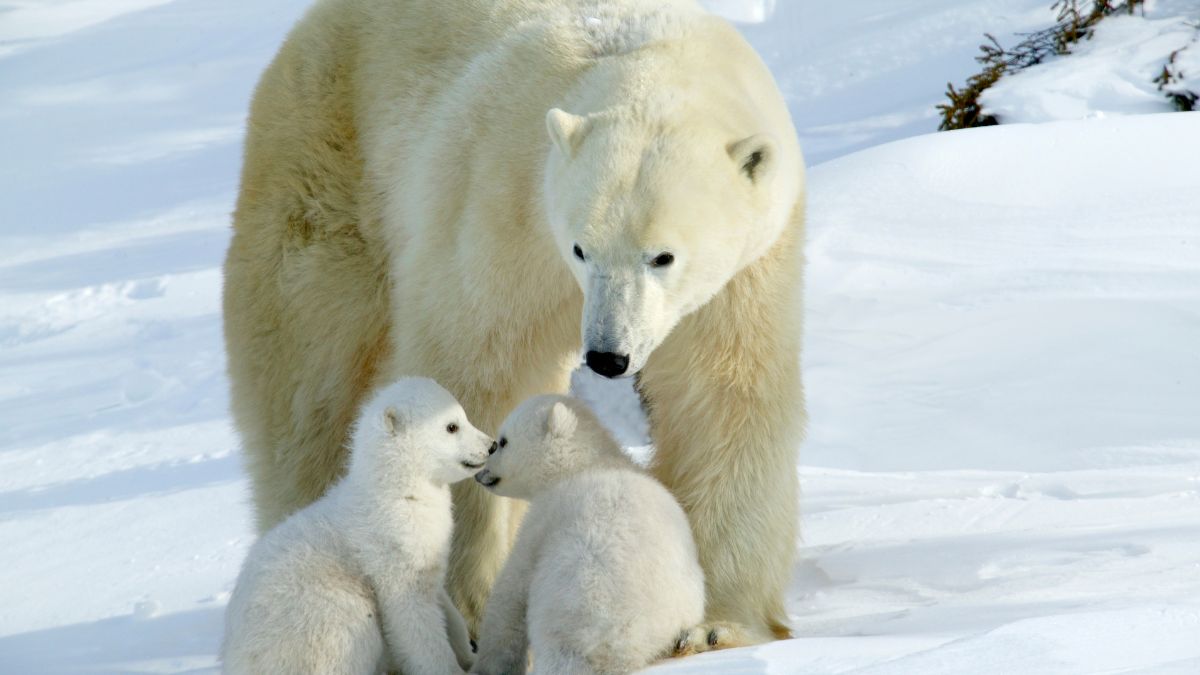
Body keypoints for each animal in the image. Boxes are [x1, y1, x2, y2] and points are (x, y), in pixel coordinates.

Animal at [220, 378, 492, 675]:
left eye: (463, 416)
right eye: (452, 426)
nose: (491, 445)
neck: (397, 491)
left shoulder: (426, 552)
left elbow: (444, 604)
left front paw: (470, 655)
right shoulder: (391, 550)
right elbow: (413, 619)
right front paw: (449, 667)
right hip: (317, 616)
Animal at [470, 394, 705, 674]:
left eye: (502, 441)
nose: (479, 474)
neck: (586, 463)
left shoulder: (547, 515)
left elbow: (512, 589)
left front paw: (487, 664)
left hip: (577, 604)